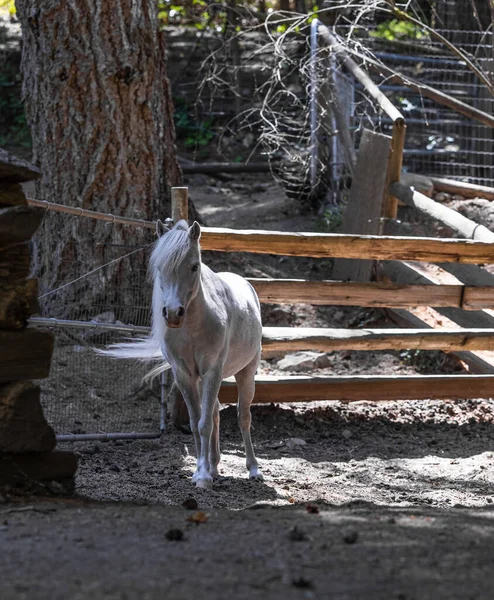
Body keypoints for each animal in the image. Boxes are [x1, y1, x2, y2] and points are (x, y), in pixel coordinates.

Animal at [103, 220, 262, 488]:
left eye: (194, 266)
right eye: (159, 267)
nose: (173, 313)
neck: (193, 327)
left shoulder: (211, 372)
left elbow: (204, 423)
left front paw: (204, 477)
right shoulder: (185, 376)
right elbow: (196, 422)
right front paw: (201, 472)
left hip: (246, 373)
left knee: (243, 416)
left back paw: (253, 469)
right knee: (216, 412)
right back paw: (215, 465)